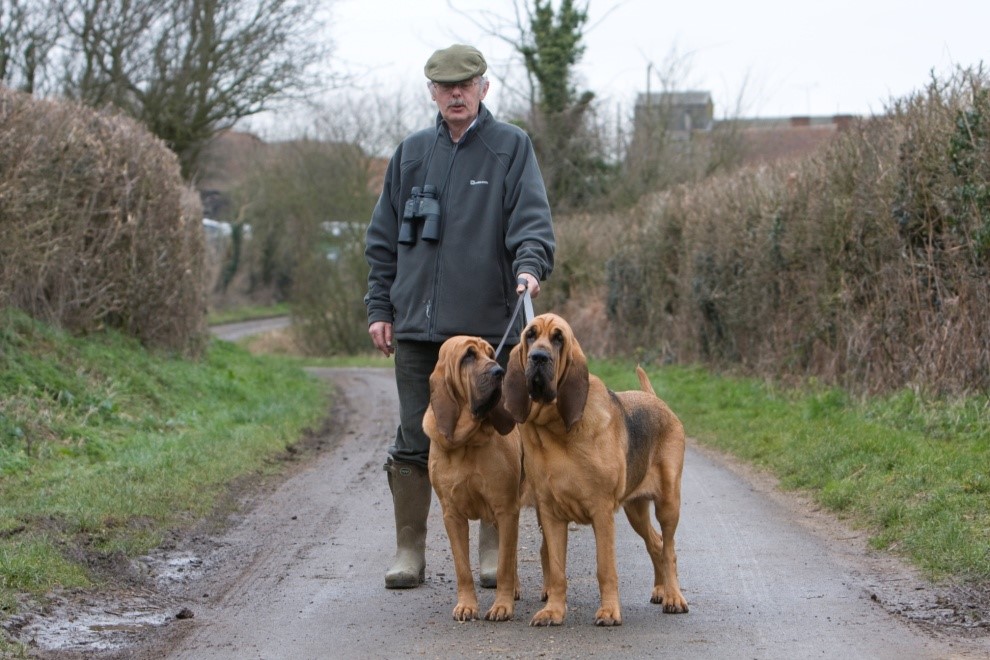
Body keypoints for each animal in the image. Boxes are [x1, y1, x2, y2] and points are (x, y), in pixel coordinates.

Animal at [422, 338, 524, 620]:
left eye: (491, 354)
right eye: (468, 355)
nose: (499, 372)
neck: (466, 441)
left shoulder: (506, 509)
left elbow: (503, 565)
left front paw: (501, 606)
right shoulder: (452, 515)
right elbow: (462, 568)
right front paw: (467, 605)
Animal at [504, 314, 688, 624]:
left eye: (558, 338)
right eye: (530, 335)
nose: (538, 357)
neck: (555, 427)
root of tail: (656, 400)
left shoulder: (601, 512)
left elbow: (605, 568)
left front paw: (609, 611)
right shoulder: (551, 514)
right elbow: (557, 569)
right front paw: (553, 611)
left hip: (668, 504)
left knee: (669, 548)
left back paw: (673, 596)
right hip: (635, 509)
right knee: (656, 542)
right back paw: (660, 589)